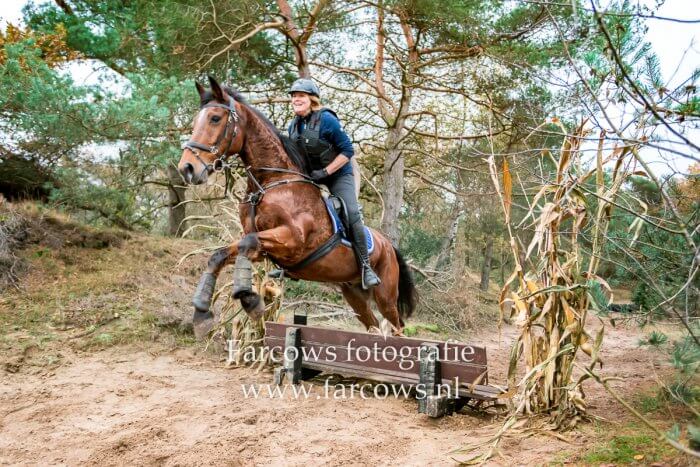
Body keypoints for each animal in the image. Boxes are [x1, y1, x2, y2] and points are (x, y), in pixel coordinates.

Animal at [179, 77, 416, 336]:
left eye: (215, 118)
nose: (186, 169)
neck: (269, 182)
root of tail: (389, 245)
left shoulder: (293, 240)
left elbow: (246, 243)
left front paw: (249, 299)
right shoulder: (262, 248)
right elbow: (220, 255)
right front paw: (202, 311)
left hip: (385, 295)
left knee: (396, 325)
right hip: (353, 293)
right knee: (372, 324)